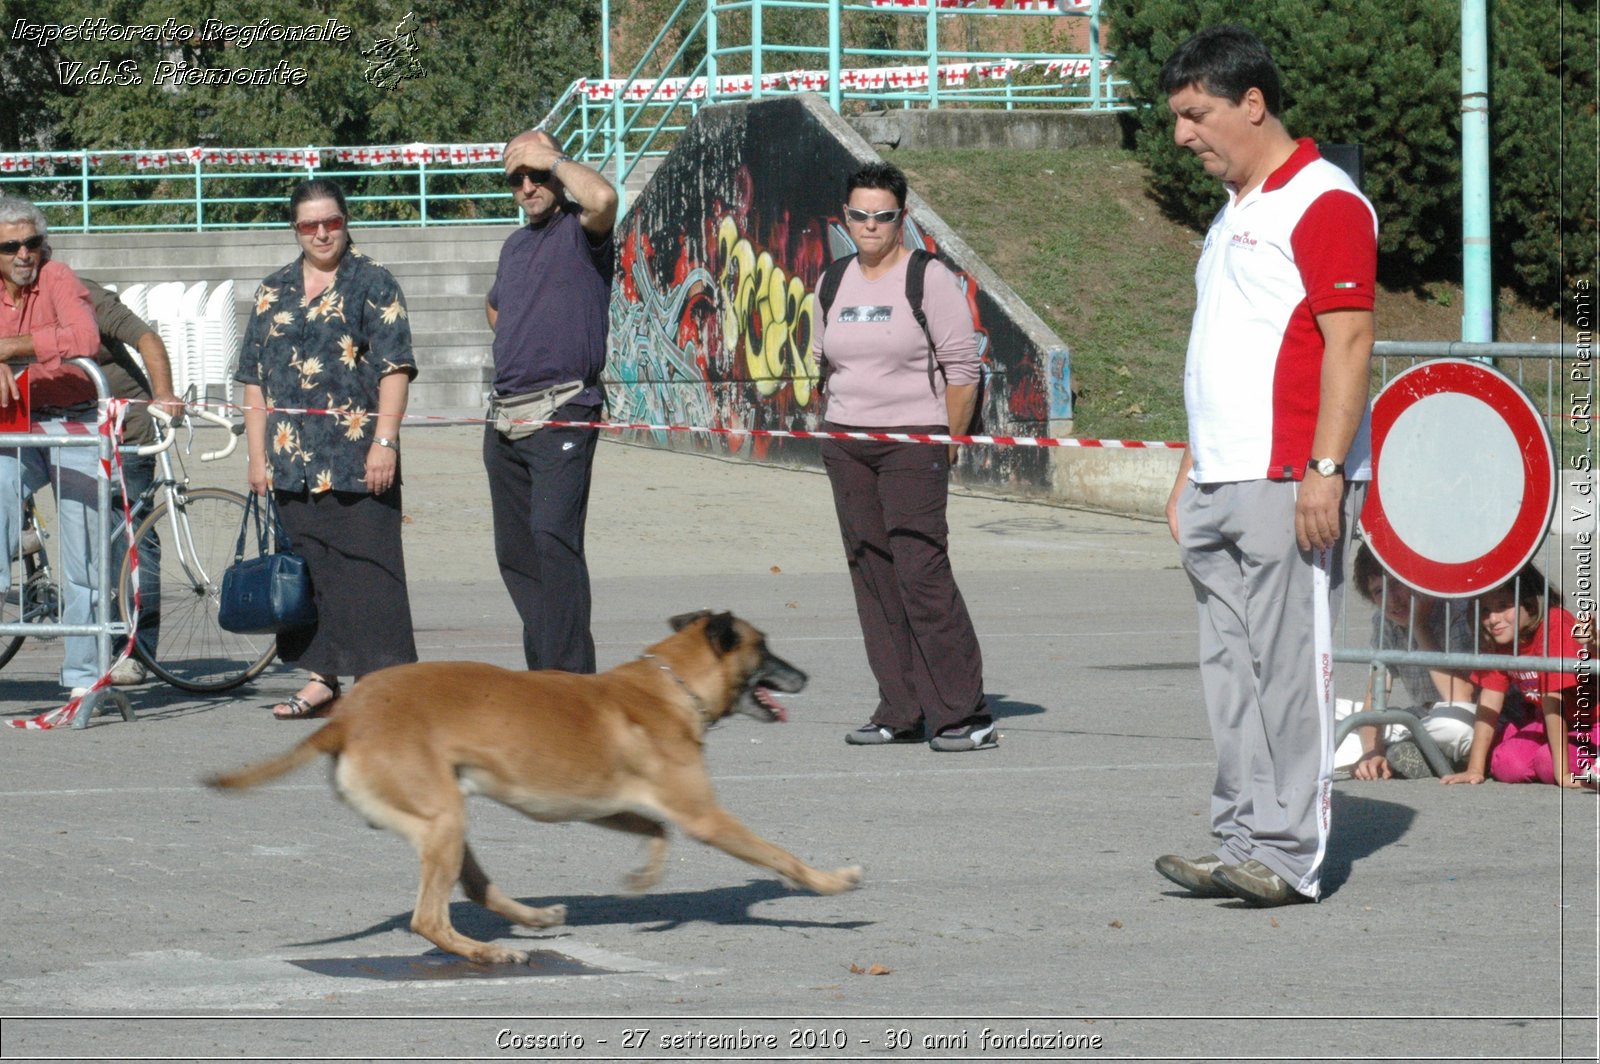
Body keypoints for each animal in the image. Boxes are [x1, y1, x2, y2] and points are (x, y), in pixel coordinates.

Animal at [216, 604, 864, 960]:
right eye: (764, 648)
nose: (805, 677)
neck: (670, 683)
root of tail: (346, 718)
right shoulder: (706, 817)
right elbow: (779, 855)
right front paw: (831, 884)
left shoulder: (610, 807)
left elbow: (658, 831)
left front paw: (644, 879)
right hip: (444, 820)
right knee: (429, 919)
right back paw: (488, 952)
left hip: (447, 819)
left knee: (474, 888)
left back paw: (531, 920)